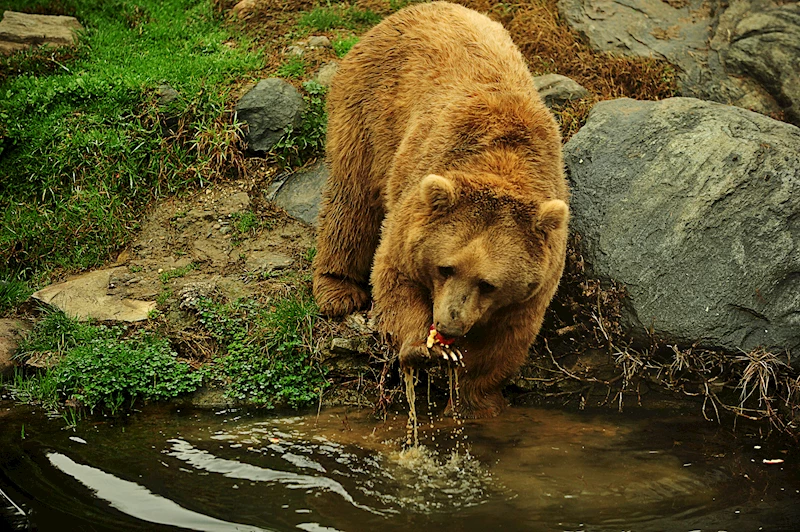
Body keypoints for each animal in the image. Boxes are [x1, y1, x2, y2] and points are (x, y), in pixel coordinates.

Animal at [312, 0, 568, 418]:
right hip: (369, 108)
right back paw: (338, 290)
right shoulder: (417, 201)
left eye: (488, 283)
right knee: (352, 197)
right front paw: (420, 350)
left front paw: (476, 399)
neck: (503, 161)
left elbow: (506, 339)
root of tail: (419, 8)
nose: (449, 324)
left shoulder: (534, 284)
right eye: (446, 267)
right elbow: (395, 275)